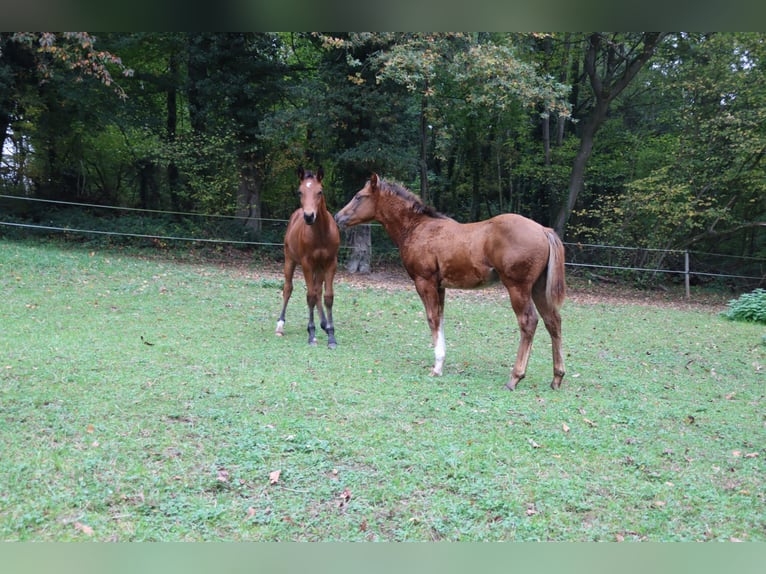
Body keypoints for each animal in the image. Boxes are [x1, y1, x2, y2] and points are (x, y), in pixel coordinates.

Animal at [276, 166, 340, 348]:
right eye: (300, 192)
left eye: (320, 191)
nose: (309, 216)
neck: (321, 234)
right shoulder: (307, 264)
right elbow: (310, 296)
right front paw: (311, 334)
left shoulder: (330, 263)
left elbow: (328, 297)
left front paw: (331, 336)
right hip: (290, 260)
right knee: (288, 288)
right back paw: (280, 324)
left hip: (320, 268)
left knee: (318, 291)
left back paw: (324, 324)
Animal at [334, 174, 566, 391]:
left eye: (359, 196)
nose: (338, 217)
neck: (417, 228)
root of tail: (543, 230)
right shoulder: (440, 286)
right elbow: (441, 318)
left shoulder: (424, 282)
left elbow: (432, 319)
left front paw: (436, 367)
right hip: (538, 288)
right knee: (553, 321)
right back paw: (557, 378)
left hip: (517, 287)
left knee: (529, 322)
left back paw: (515, 378)